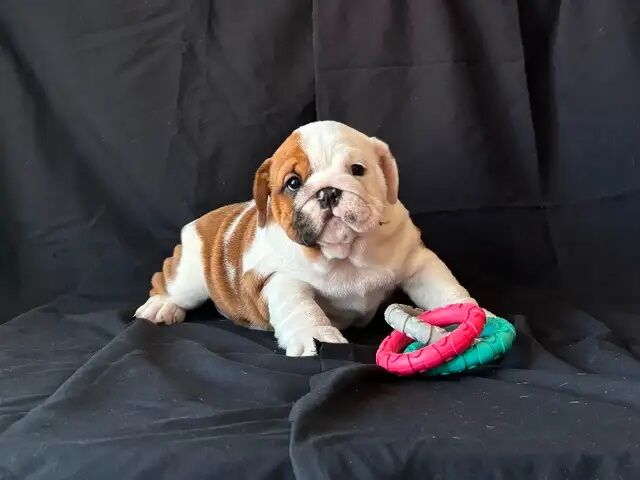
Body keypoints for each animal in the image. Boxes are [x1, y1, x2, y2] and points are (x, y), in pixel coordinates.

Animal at [134, 120, 476, 356]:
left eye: (357, 170)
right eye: (293, 183)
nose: (327, 191)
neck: (344, 253)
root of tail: (208, 218)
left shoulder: (416, 261)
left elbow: (442, 289)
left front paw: (473, 314)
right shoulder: (277, 278)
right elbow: (301, 308)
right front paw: (317, 337)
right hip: (191, 275)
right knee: (169, 283)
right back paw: (161, 307)